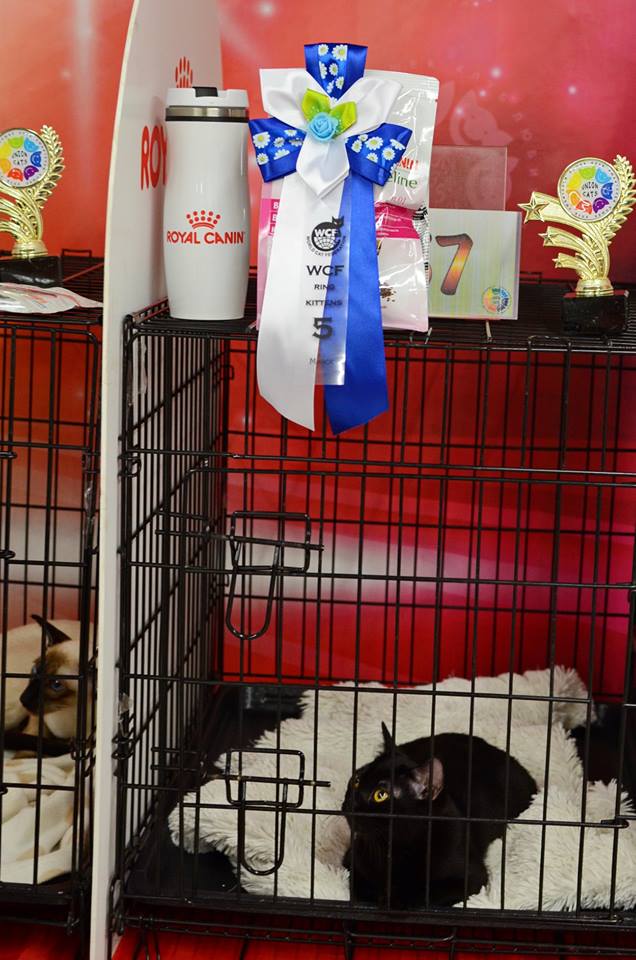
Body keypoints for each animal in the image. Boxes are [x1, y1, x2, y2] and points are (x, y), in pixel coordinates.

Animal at [342, 722, 537, 909]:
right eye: (356, 780)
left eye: (380, 795)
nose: (350, 804)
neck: (394, 846)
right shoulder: (351, 861)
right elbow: (360, 887)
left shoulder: (473, 878)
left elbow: (429, 891)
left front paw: (396, 899)